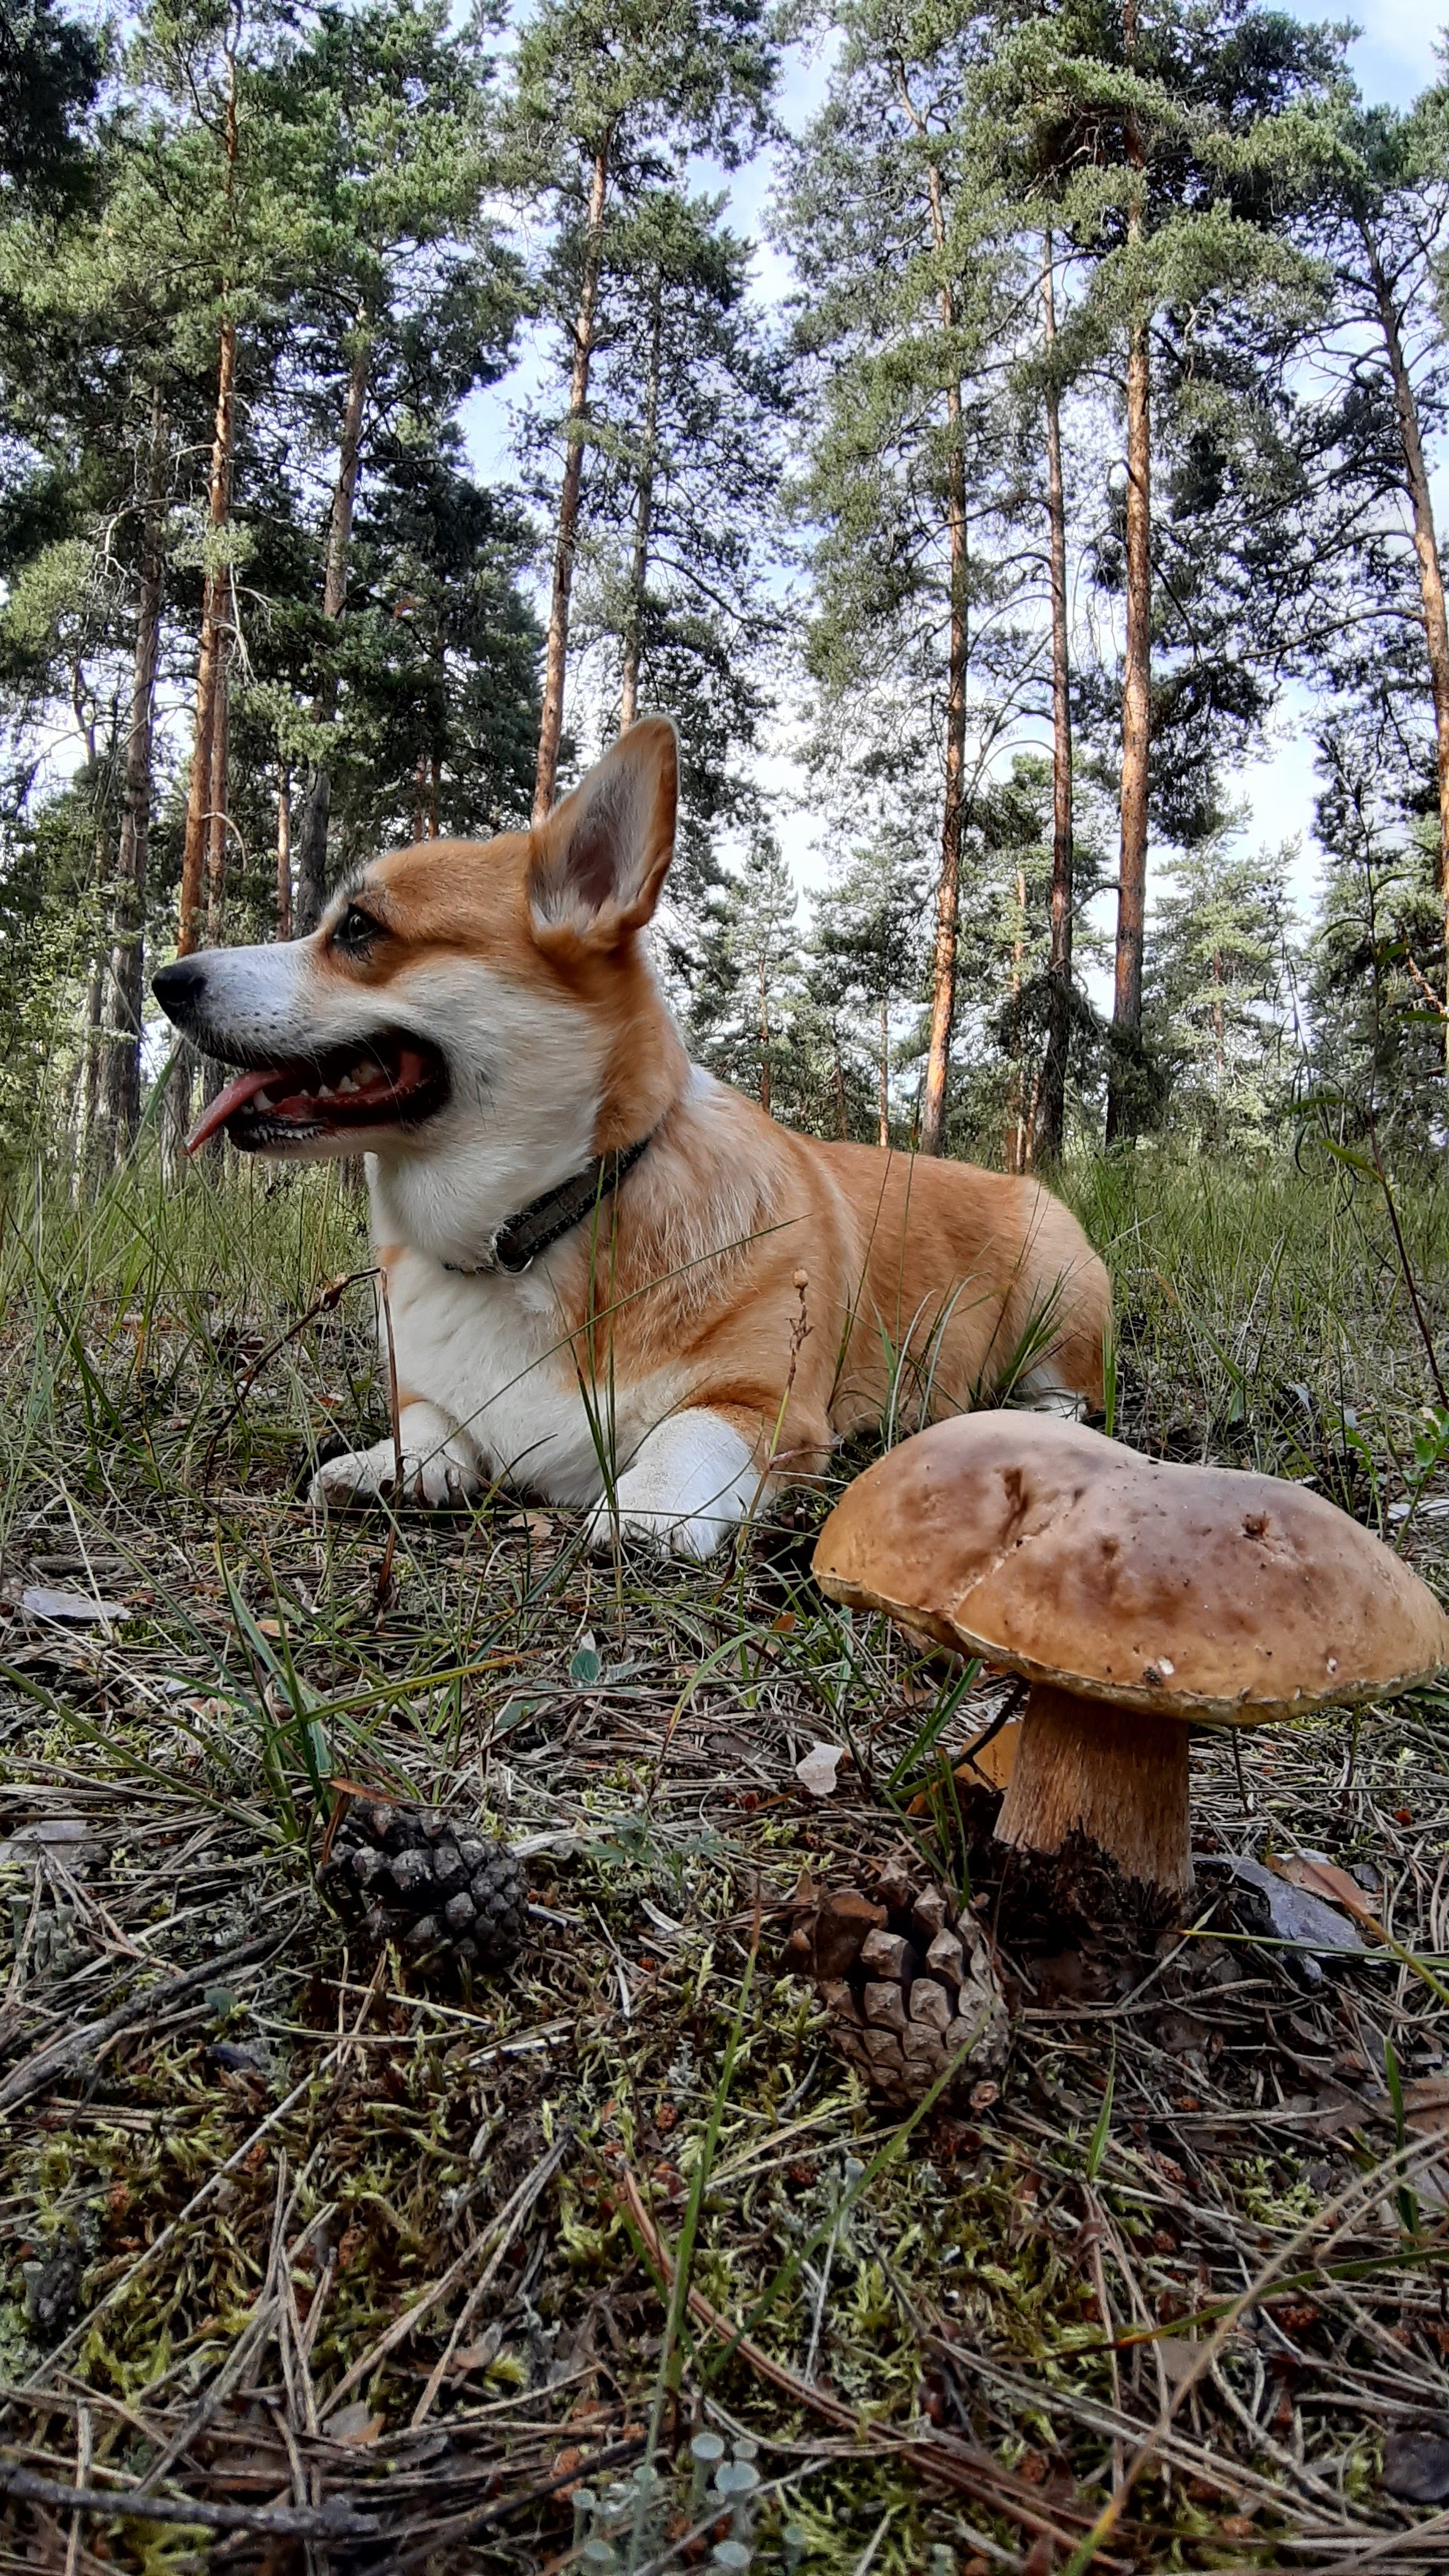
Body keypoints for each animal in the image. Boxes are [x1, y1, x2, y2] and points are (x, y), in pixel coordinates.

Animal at [152, 716, 1103, 1556]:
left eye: (358, 928)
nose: (168, 981)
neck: (530, 1230)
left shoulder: (766, 1405)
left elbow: (688, 1437)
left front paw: (642, 1509)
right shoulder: (428, 1388)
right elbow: (429, 1424)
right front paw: (389, 1465)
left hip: (1059, 1291)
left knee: (1071, 1395)